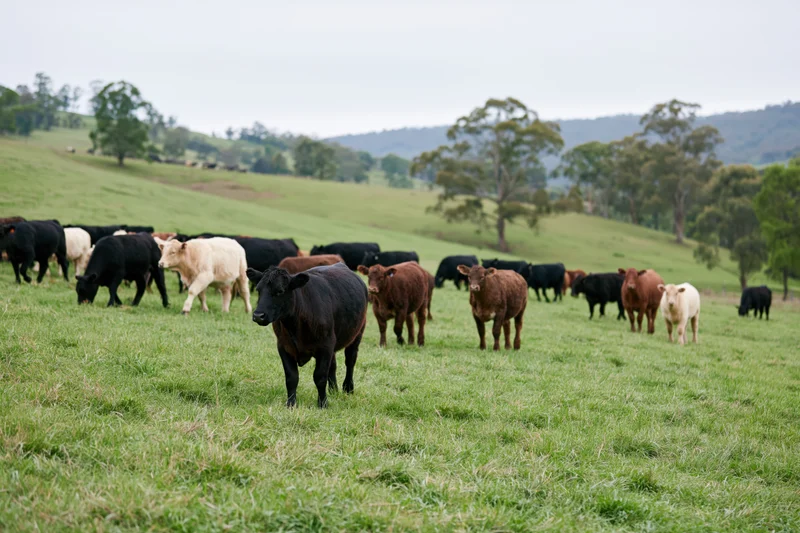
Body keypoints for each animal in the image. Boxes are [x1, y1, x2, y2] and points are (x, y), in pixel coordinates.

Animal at [248, 263, 368, 408]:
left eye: (280, 291)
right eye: (258, 290)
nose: (258, 315)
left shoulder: (325, 346)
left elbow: (320, 376)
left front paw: (322, 404)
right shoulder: (284, 346)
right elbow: (291, 377)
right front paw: (291, 404)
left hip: (357, 333)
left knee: (350, 360)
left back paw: (348, 388)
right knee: (333, 365)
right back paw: (333, 390)